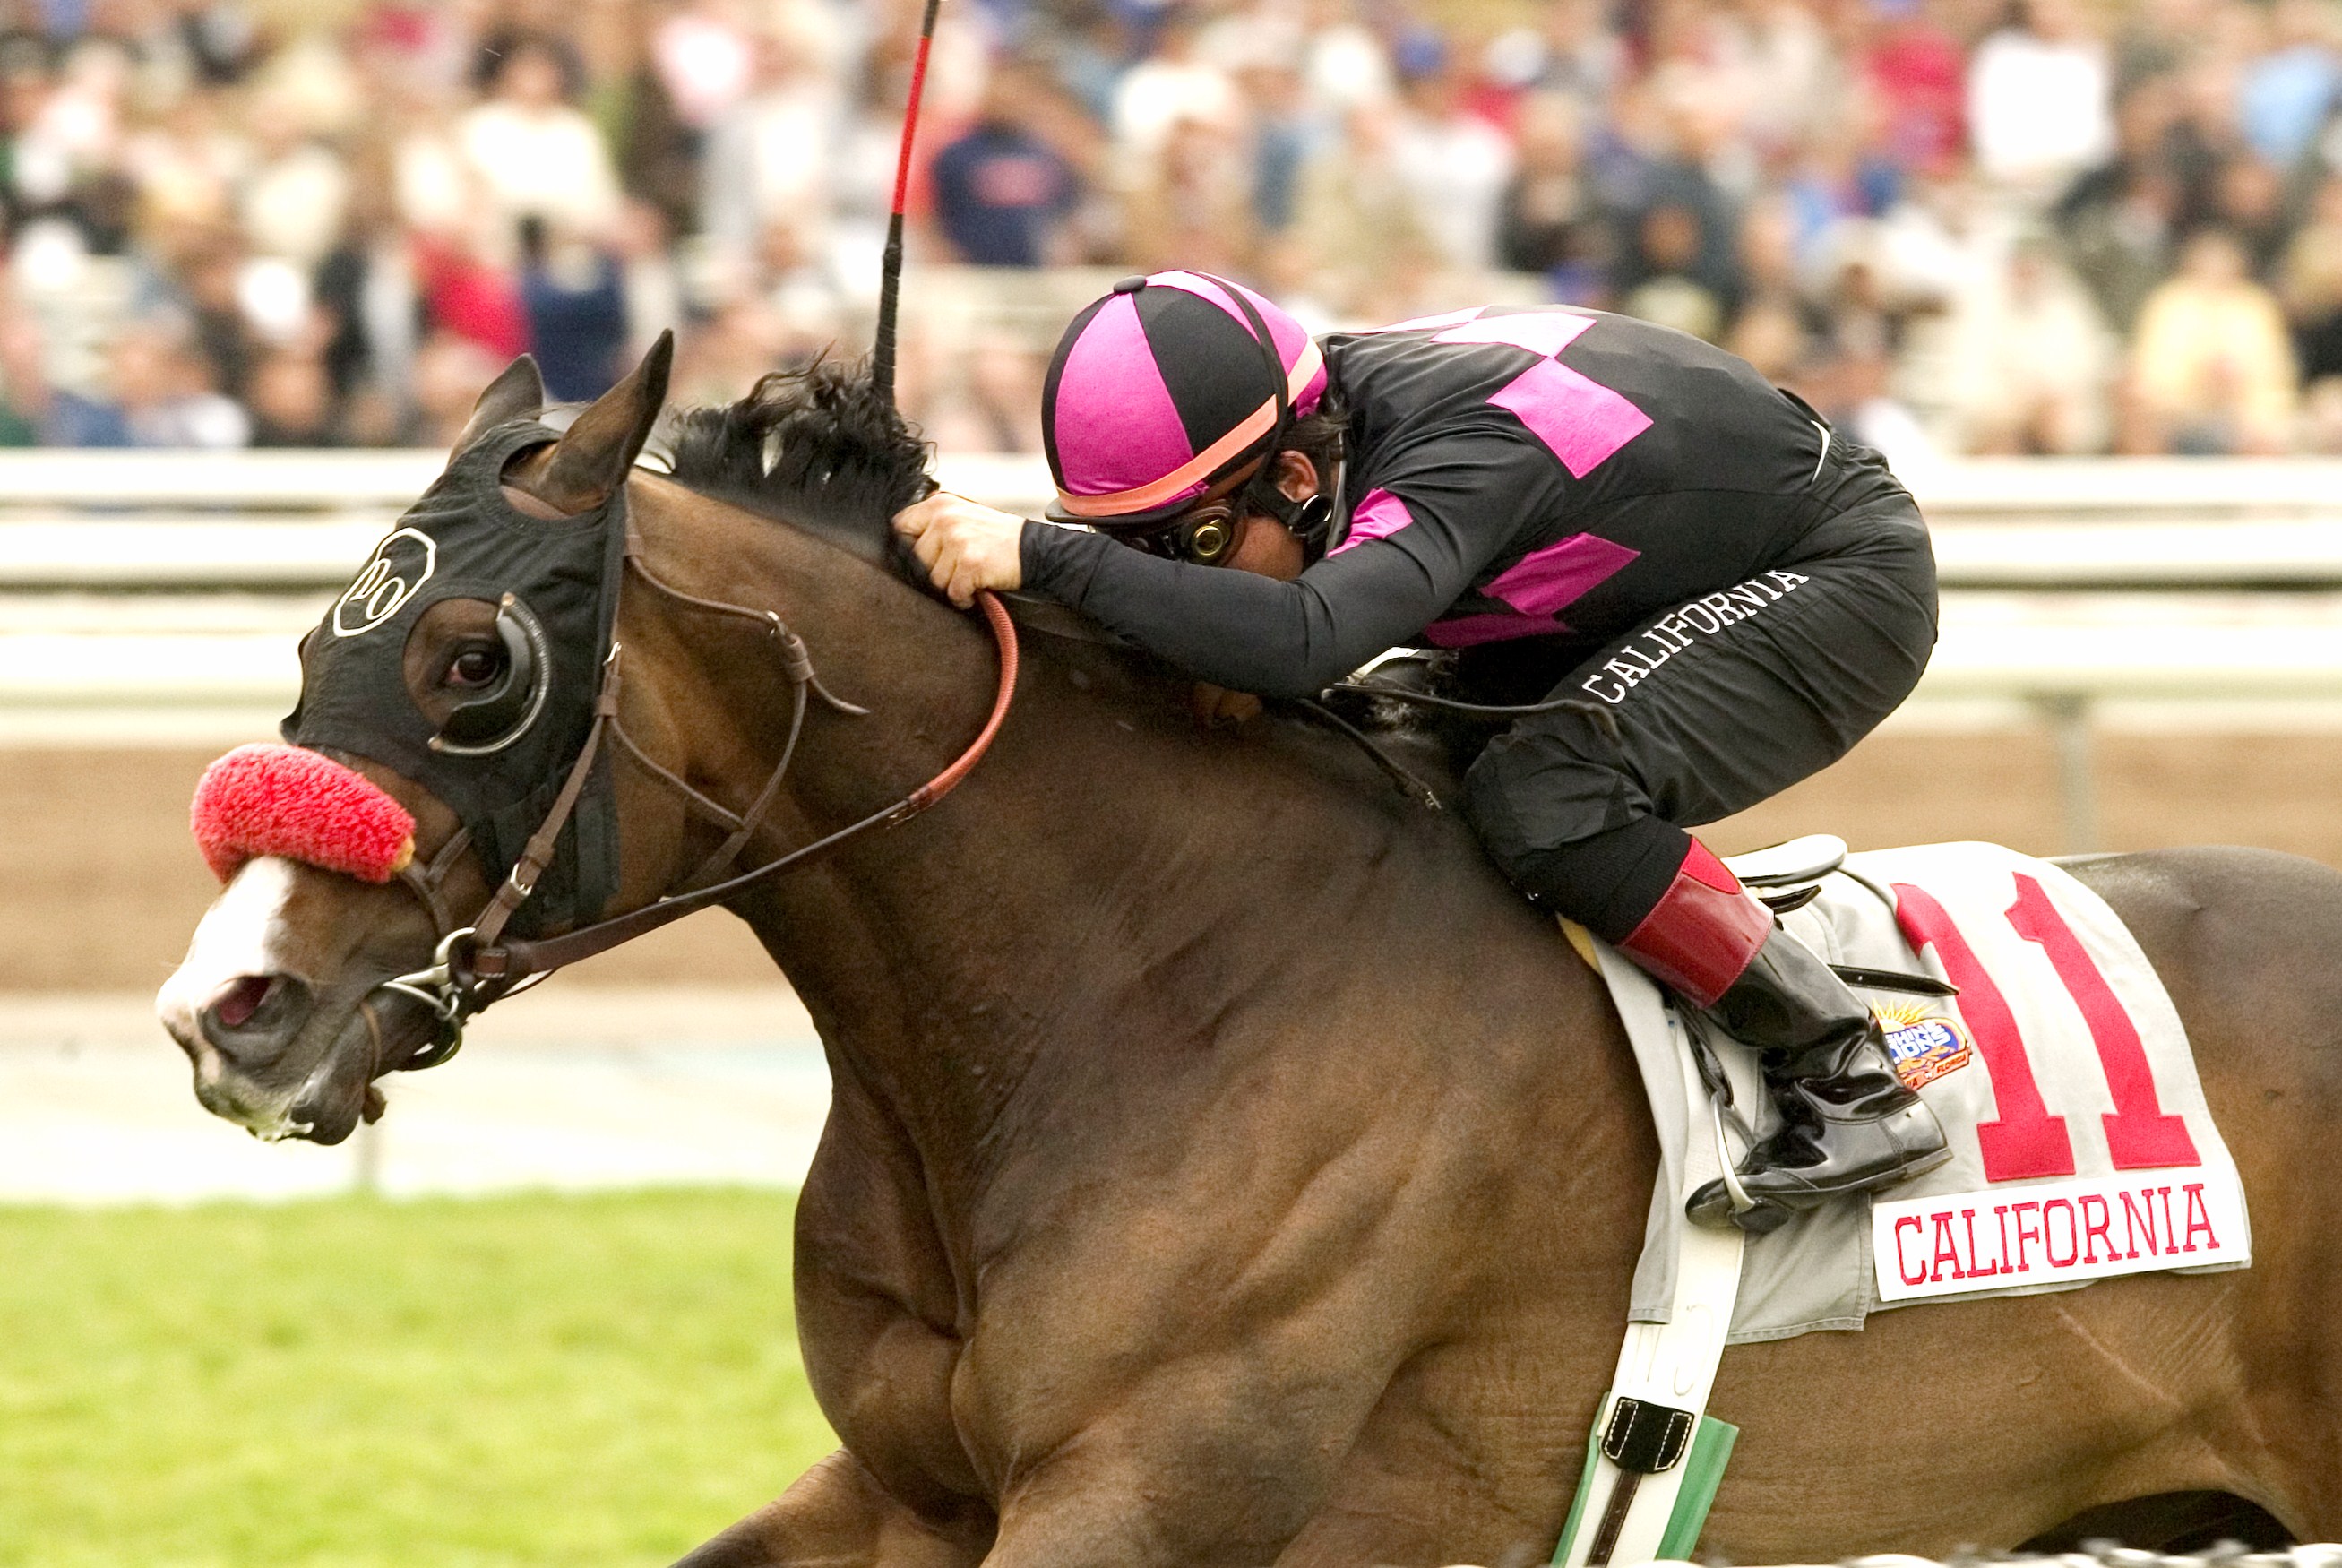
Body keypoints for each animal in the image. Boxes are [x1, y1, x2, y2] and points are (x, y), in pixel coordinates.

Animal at [155, 344, 2332, 1565]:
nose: (223, 1008)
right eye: (314, 640)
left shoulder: (1150, 1496)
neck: (1138, 990)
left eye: (474, 663)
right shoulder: (910, 1489)